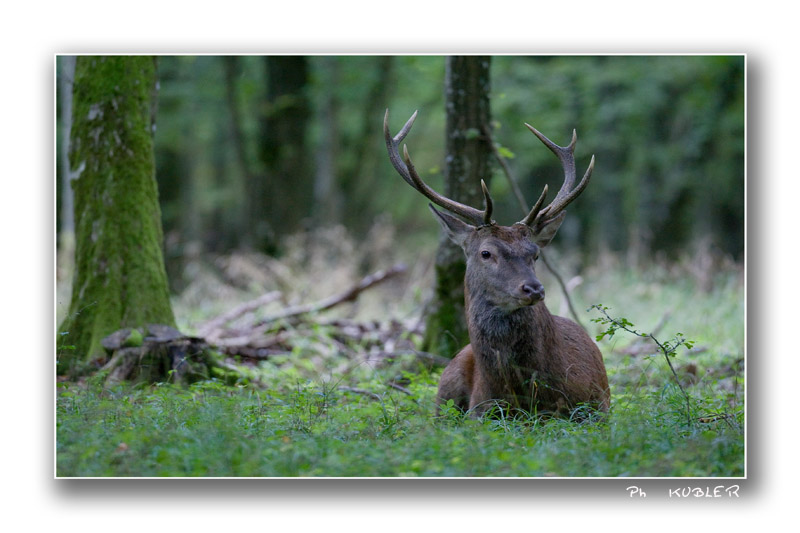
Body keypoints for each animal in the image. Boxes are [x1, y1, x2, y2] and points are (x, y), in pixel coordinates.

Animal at [384, 109, 610, 419]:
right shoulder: (479, 412)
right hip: (446, 387)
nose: (533, 289)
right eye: (486, 253)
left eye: (535, 254)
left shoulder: (595, 408)